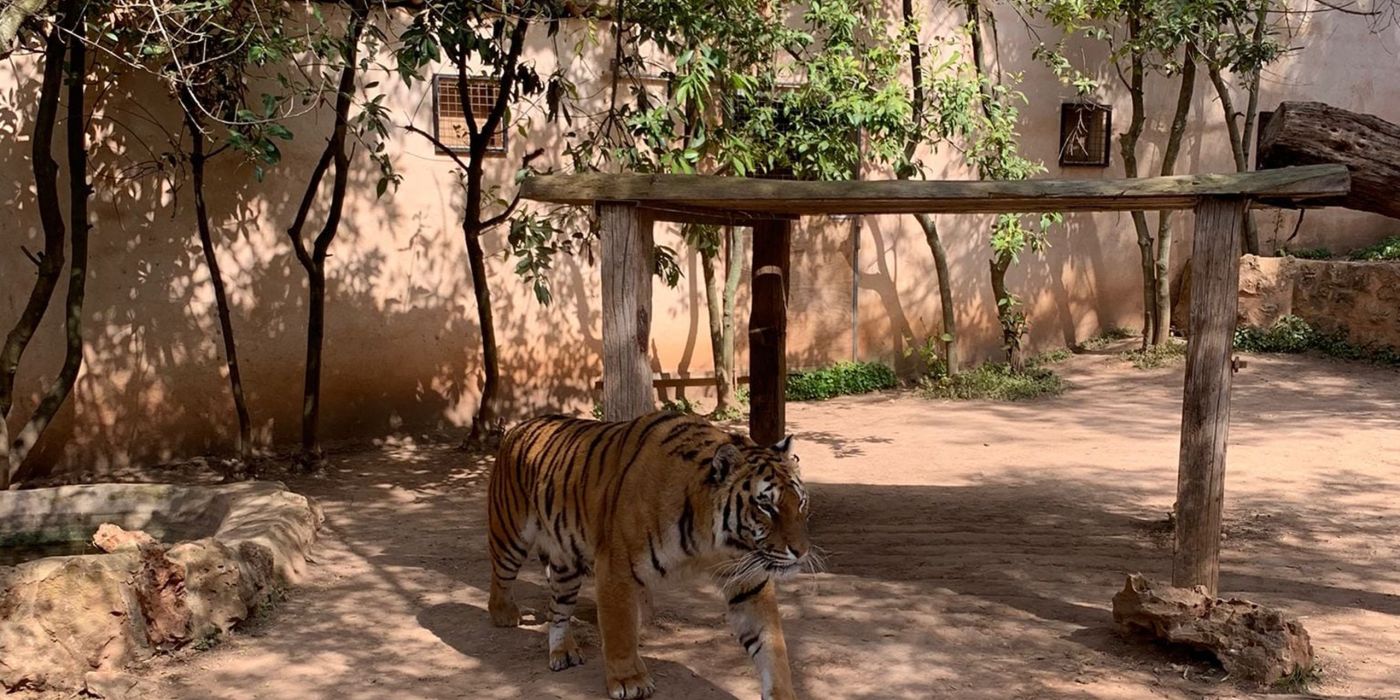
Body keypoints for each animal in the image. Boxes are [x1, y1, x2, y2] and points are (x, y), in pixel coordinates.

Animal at [487, 410, 812, 700]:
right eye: (766, 506)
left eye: (801, 502)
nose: (801, 551)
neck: (712, 541)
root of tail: (518, 426)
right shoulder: (616, 568)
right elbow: (620, 630)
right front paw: (629, 681)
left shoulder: (749, 580)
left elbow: (771, 644)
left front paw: (782, 694)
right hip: (510, 533)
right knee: (500, 577)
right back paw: (504, 614)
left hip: (566, 562)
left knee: (558, 609)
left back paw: (563, 651)